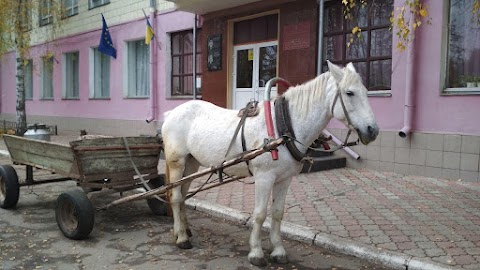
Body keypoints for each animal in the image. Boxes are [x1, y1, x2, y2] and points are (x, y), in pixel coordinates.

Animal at [161, 61, 378, 266]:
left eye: (365, 91)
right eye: (349, 93)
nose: (373, 130)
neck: (283, 126)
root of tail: (170, 113)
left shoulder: (285, 179)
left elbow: (277, 213)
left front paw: (278, 251)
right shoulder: (264, 178)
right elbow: (259, 214)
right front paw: (256, 253)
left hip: (192, 163)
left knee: (183, 195)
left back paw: (184, 230)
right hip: (177, 163)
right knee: (176, 197)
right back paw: (182, 238)